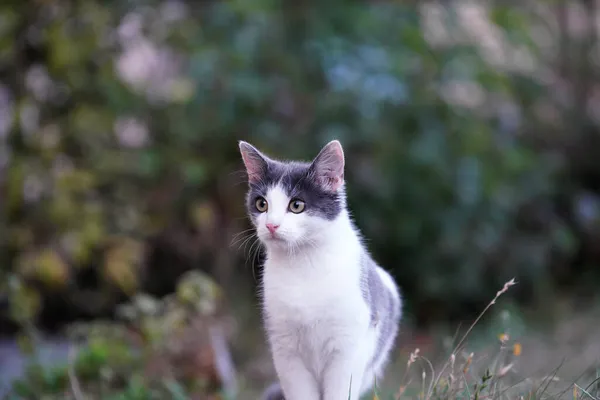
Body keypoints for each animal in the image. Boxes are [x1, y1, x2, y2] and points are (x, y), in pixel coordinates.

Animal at [239, 140, 404, 400]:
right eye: (261, 204)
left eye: (296, 205)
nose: (271, 225)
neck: (302, 265)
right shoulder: (285, 350)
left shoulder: (347, 349)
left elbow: (340, 389)